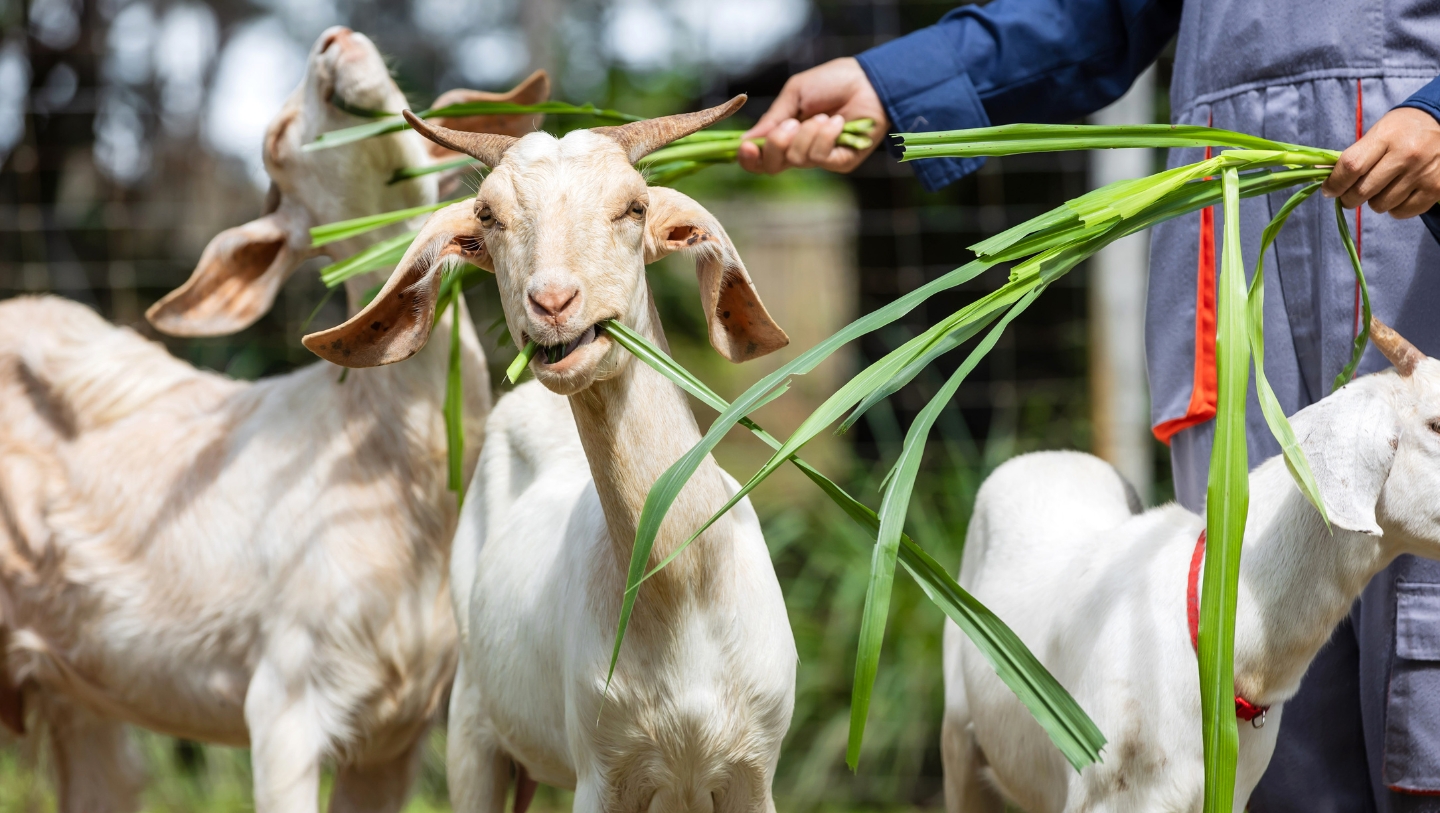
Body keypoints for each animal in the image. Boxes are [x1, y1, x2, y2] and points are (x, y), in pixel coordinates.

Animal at [305, 100, 800, 811]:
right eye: (487, 216)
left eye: (634, 207)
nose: (553, 304)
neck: (683, 589)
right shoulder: (601, 771)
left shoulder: (753, 770)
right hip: (474, 728)